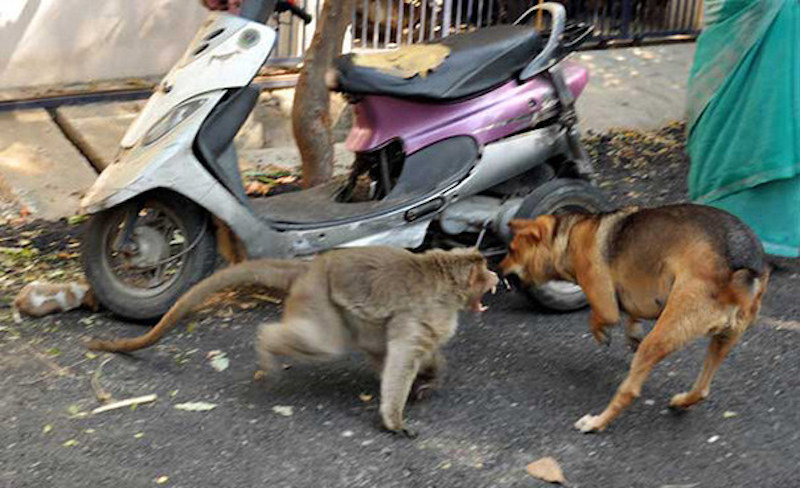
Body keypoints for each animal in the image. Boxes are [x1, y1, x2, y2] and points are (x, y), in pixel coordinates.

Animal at [89, 246, 500, 436]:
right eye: (486, 272)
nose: (497, 277)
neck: (446, 280)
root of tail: (311, 266)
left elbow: (408, 351)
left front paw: (430, 379)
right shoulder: (423, 312)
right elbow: (402, 353)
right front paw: (394, 420)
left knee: (366, 342)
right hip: (318, 296)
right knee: (324, 343)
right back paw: (266, 345)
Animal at [500, 204, 768, 432]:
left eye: (512, 250)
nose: (498, 270)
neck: (567, 235)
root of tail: (740, 272)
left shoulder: (604, 304)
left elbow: (597, 318)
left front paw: (602, 333)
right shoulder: (642, 295)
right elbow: (632, 314)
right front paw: (631, 333)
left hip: (660, 338)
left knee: (629, 391)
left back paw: (596, 423)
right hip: (723, 340)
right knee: (702, 389)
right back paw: (680, 402)